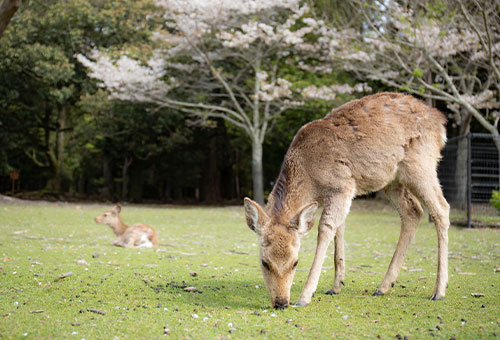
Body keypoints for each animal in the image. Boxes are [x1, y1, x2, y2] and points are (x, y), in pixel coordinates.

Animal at [244, 92, 452, 308]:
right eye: (264, 262)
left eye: (295, 262)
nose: (281, 302)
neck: (310, 177)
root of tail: (440, 123)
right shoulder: (340, 193)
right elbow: (339, 229)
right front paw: (336, 286)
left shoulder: (342, 184)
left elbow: (326, 228)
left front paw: (304, 296)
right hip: (392, 180)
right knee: (413, 211)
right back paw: (383, 286)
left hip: (421, 164)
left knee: (441, 208)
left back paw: (439, 290)